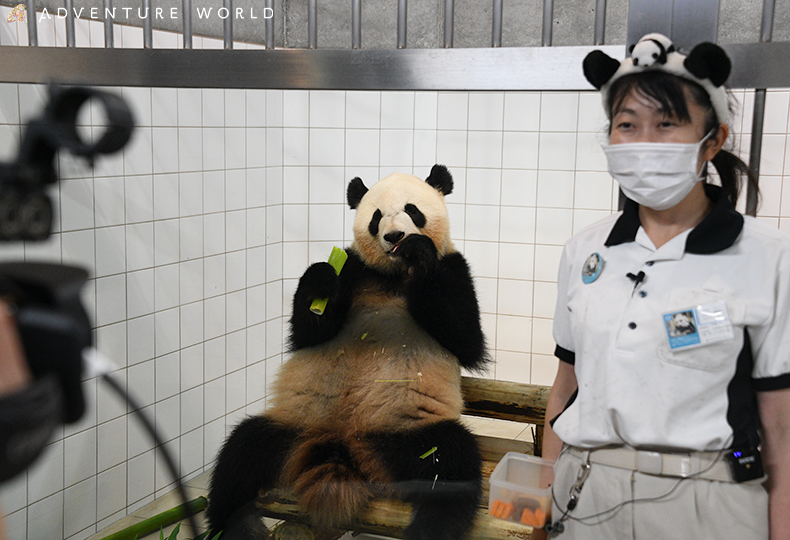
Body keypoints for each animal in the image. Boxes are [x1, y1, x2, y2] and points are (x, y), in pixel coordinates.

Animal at [206, 165, 488, 540]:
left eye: (412, 210)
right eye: (376, 217)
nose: (394, 236)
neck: (391, 275)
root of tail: (342, 448)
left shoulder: (455, 267)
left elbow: (467, 338)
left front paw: (419, 254)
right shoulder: (354, 269)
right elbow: (307, 332)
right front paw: (320, 280)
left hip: (407, 434)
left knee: (451, 468)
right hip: (292, 428)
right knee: (238, 457)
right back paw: (236, 527)